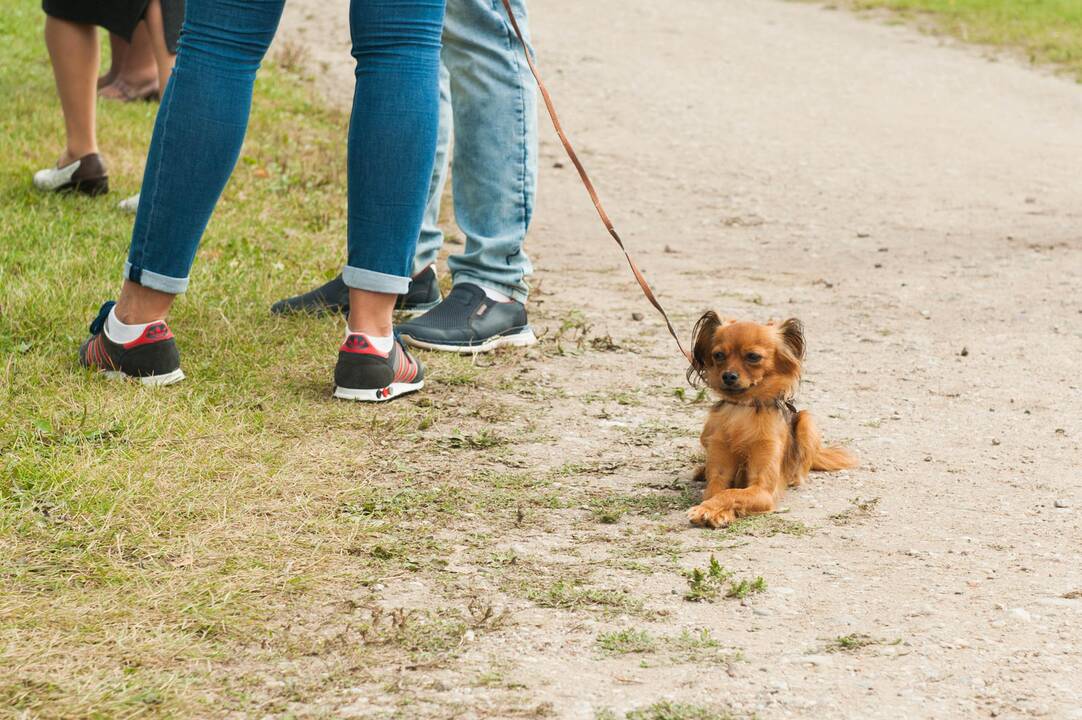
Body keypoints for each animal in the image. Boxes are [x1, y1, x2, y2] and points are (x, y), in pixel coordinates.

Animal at [683, 311, 852, 526]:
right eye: (718, 355)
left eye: (753, 357)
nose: (728, 376)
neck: (744, 408)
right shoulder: (719, 475)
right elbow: (717, 491)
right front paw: (712, 509)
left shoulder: (762, 490)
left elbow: (731, 493)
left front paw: (715, 511)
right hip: (708, 431)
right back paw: (701, 471)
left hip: (807, 422)